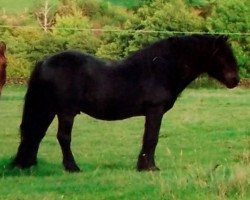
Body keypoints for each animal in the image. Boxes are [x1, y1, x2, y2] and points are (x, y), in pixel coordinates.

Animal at [12, 34, 239, 172]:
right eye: (223, 55)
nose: (235, 80)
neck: (161, 68)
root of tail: (45, 62)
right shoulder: (155, 111)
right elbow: (151, 138)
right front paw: (149, 167)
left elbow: (149, 138)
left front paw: (144, 166)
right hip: (65, 112)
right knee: (62, 137)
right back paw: (72, 167)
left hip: (48, 109)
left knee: (36, 134)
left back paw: (28, 165)